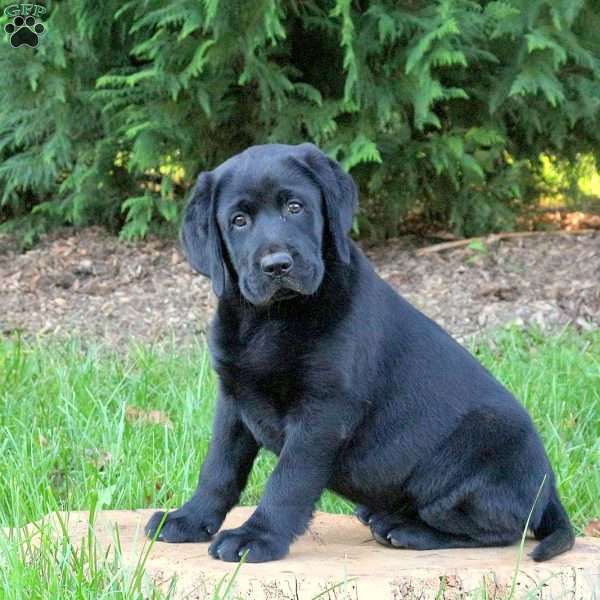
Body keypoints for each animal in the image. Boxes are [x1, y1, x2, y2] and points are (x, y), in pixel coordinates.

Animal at [144, 142, 572, 564]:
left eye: (295, 207)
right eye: (238, 220)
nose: (277, 265)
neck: (271, 317)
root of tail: (548, 488)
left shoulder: (324, 410)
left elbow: (288, 480)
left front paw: (257, 537)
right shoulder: (234, 398)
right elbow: (219, 466)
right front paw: (190, 518)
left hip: (476, 446)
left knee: (501, 530)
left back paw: (405, 529)